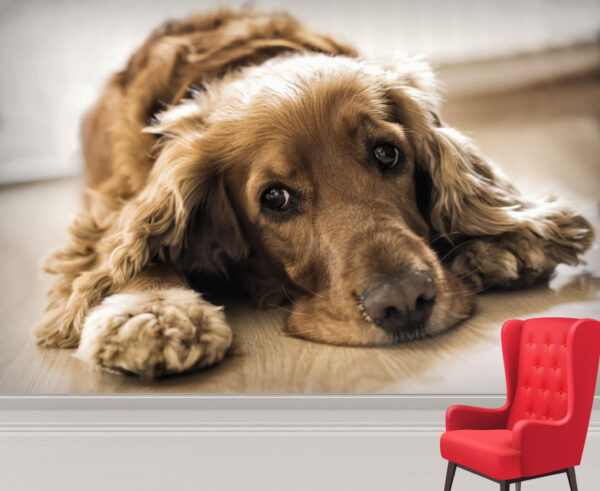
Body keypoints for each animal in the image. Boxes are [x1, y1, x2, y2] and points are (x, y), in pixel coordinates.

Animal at [35, 9, 592, 378]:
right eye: (275, 199)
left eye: (387, 154)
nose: (404, 302)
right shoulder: (107, 208)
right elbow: (130, 251)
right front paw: (153, 312)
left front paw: (504, 242)